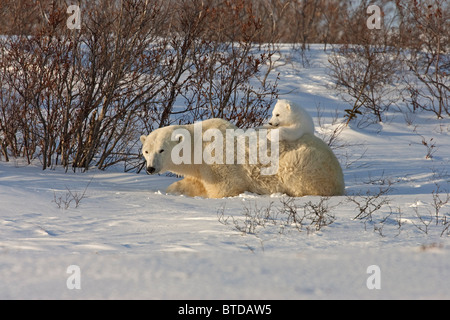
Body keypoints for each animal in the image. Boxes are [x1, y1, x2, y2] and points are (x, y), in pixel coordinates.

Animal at [141, 117, 344, 198]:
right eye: (146, 151)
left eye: (161, 150)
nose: (150, 168)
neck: (199, 144)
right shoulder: (200, 169)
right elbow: (192, 182)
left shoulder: (218, 161)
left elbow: (225, 187)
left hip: (303, 161)